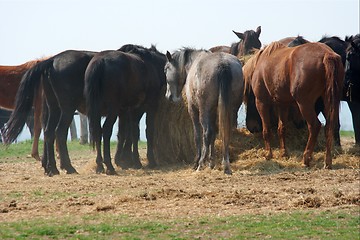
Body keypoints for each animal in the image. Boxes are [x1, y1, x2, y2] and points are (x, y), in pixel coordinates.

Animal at [85, 44, 167, 174]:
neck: (152, 65)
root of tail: (99, 62)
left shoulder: (128, 110)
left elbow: (128, 133)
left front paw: (130, 161)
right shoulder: (149, 106)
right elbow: (148, 131)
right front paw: (150, 161)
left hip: (97, 110)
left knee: (98, 131)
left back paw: (100, 165)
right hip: (112, 110)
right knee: (106, 130)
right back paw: (109, 166)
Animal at [245, 41, 344, 169]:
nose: (251, 127)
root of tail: (327, 54)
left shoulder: (261, 102)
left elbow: (266, 130)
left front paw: (268, 154)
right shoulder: (282, 104)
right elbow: (281, 128)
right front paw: (283, 153)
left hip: (304, 104)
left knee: (315, 126)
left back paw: (306, 158)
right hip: (328, 102)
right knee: (329, 127)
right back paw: (327, 162)